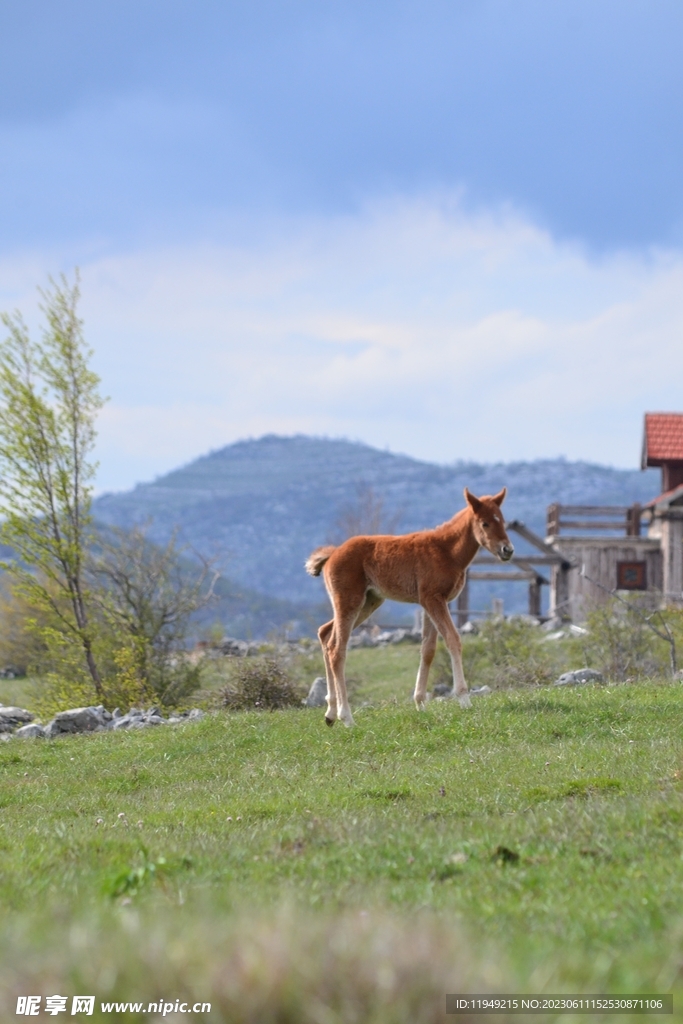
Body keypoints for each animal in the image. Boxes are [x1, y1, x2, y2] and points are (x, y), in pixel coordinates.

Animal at [305, 488, 513, 727]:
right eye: (485, 523)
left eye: (503, 521)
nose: (507, 550)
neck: (447, 551)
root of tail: (332, 554)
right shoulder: (433, 598)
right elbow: (453, 639)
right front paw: (464, 699)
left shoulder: (431, 602)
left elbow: (428, 649)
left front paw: (420, 702)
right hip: (349, 600)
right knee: (337, 649)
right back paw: (346, 717)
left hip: (369, 602)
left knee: (325, 634)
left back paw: (330, 713)